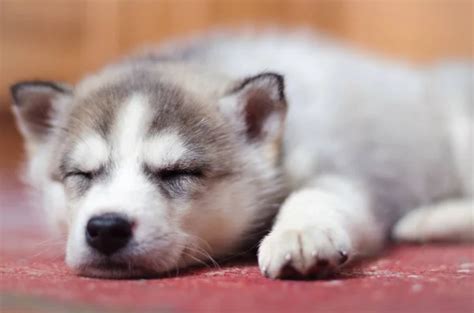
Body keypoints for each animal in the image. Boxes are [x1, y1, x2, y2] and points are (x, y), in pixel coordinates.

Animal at [11, 31, 474, 278]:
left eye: (177, 172)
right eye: (82, 174)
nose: (106, 228)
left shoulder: (344, 168)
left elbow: (316, 194)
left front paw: (300, 232)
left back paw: (427, 219)